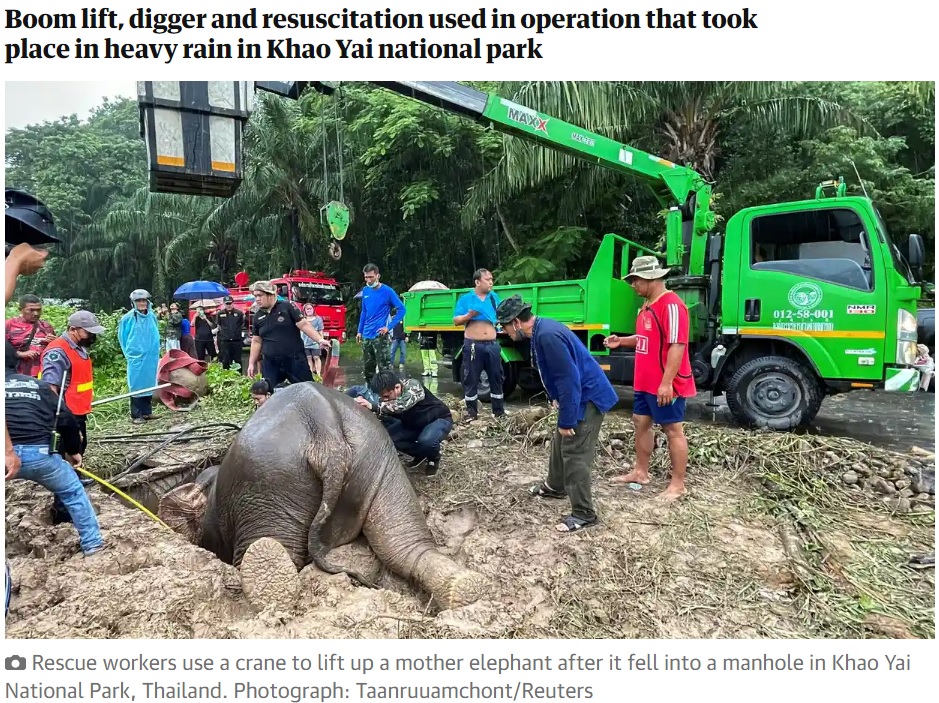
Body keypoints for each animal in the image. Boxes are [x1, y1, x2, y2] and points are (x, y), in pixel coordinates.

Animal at [156, 380, 484, 612]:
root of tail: (324, 432)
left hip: (269, 483)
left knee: (271, 550)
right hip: (380, 461)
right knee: (403, 543)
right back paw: (466, 588)